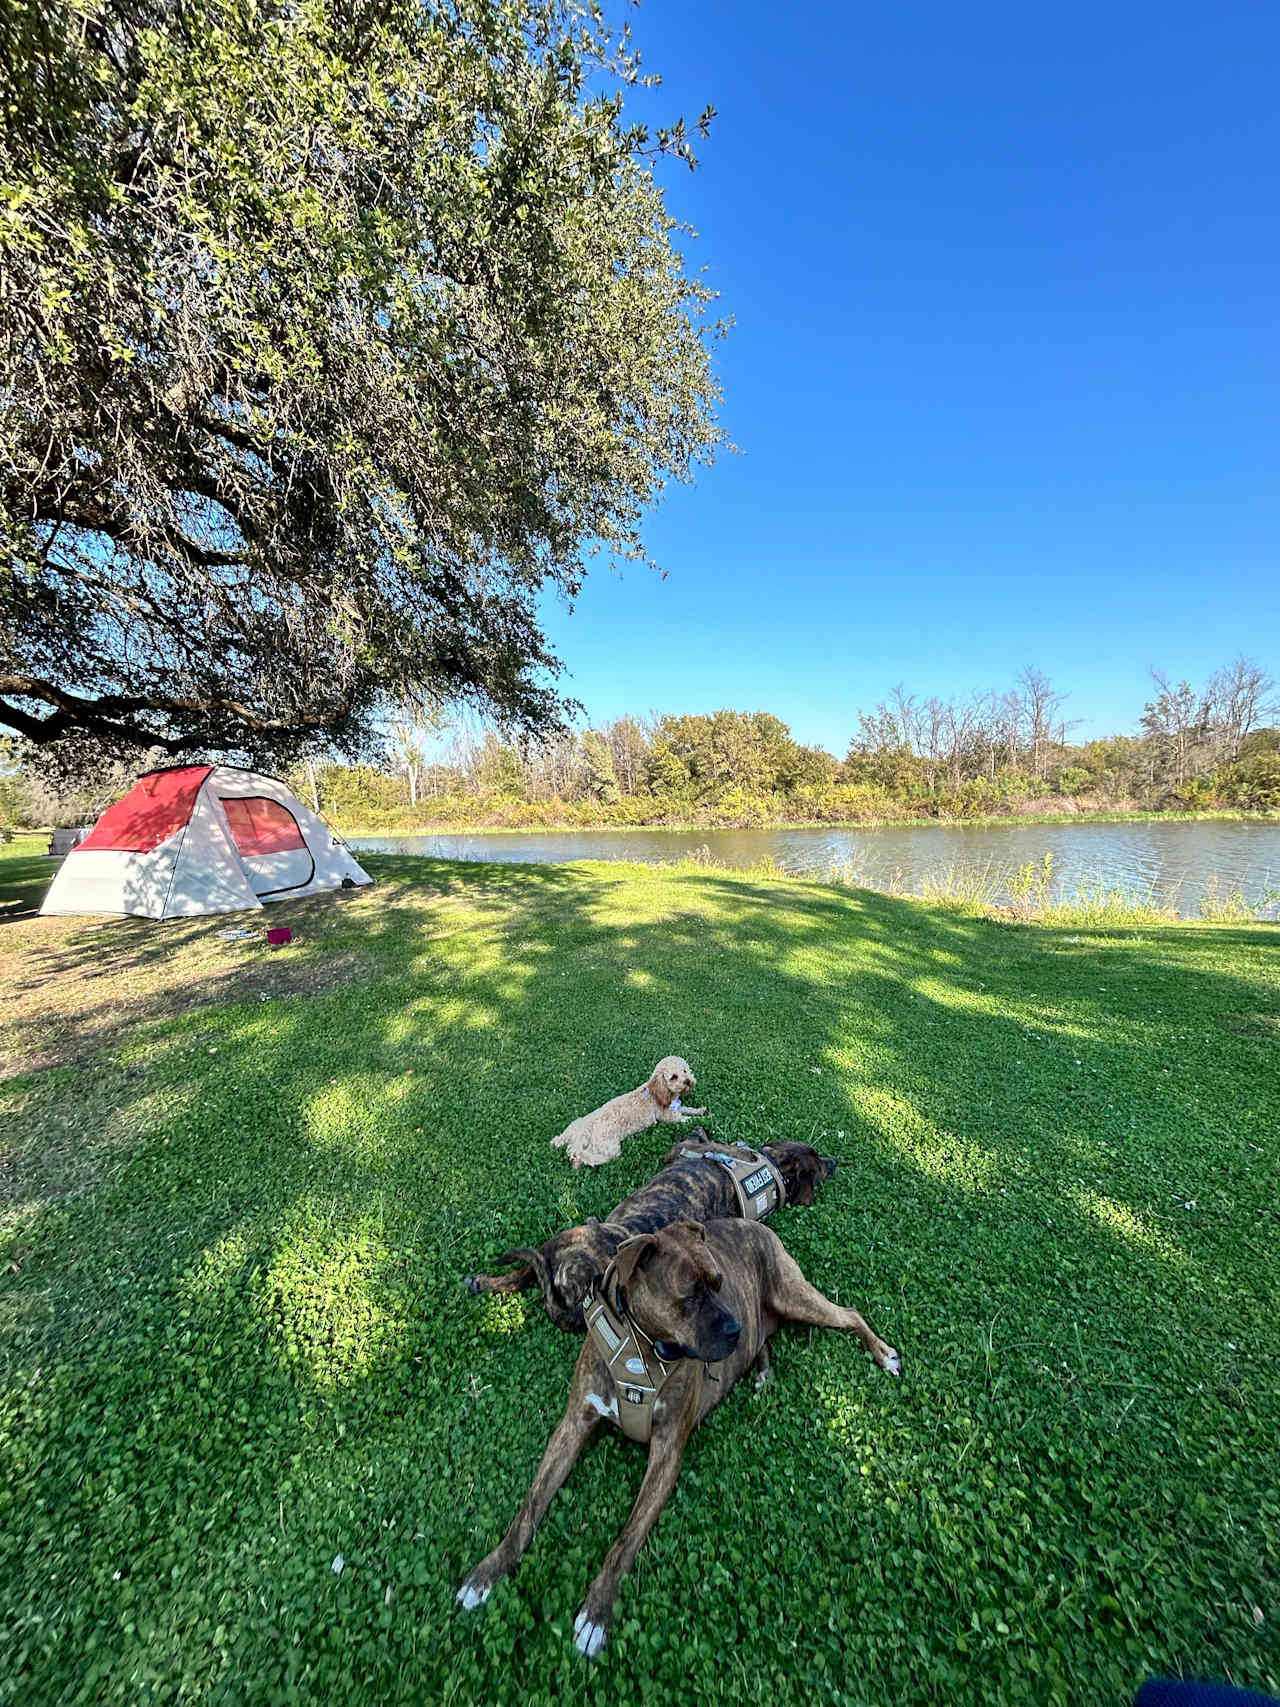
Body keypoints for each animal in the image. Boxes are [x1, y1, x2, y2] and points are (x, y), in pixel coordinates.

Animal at [460, 1222, 901, 1659]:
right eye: (689, 1296)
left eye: (720, 1282)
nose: (735, 1329)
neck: (641, 1348)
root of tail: (755, 1223)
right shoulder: (571, 1427)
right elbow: (529, 1508)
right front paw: (487, 1571)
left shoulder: (667, 1453)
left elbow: (625, 1538)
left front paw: (597, 1612)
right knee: (768, 1336)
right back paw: (761, 1369)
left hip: (793, 1296)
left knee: (849, 1314)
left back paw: (882, 1353)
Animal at [467, 1133, 836, 1331]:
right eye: (817, 1159)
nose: (835, 1162)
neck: (770, 1167)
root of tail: (572, 1285)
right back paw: (484, 1282)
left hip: (572, 1234)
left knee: (526, 1270)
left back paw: (484, 1281)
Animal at [552, 1051, 706, 1174]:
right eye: (674, 1077)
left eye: (684, 1071)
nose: (688, 1081)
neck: (659, 1093)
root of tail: (583, 1132)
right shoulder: (669, 1117)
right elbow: (687, 1119)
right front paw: (704, 1118)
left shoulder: (676, 1108)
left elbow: (687, 1109)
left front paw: (700, 1110)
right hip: (610, 1148)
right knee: (591, 1157)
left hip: (576, 1125)